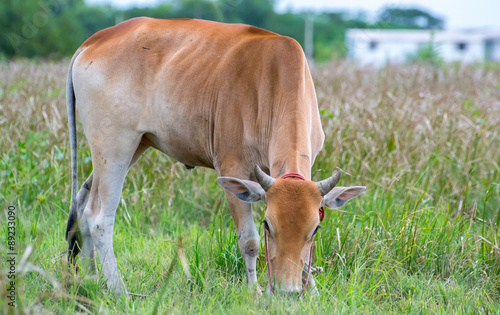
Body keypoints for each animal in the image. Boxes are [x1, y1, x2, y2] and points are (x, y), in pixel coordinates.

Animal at [65, 17, 364, 298]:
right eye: (268, 225)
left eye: (314, 229)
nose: (286, 291)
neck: (275, 81)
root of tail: (94, 41)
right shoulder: (233, 169)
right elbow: (249, 241)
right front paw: (253, 292)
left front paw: (311, 290)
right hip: (114, 145)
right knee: (99, 217)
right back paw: (119, 291)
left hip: (133, 146)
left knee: (82, 201)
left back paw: (91, 279)